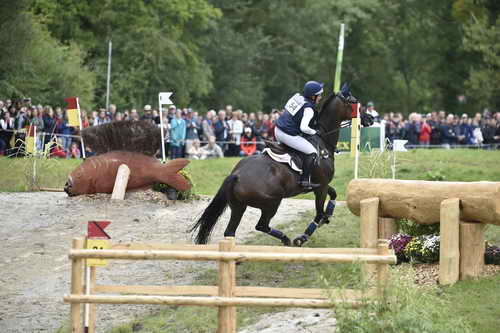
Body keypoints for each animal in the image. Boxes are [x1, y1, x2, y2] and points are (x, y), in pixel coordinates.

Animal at [189, 85, 374, 246]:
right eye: (354, 102)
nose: (371, 118)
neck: (322, 140)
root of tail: (236, 175)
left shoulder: (320, 185)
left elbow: (333, 195)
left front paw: (327, 216)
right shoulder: (320, 187)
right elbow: (318, 214)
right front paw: (304, 236)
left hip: (238, 206)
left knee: (230, 232)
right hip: (271, 202)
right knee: (261, 225)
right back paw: (286, 240)